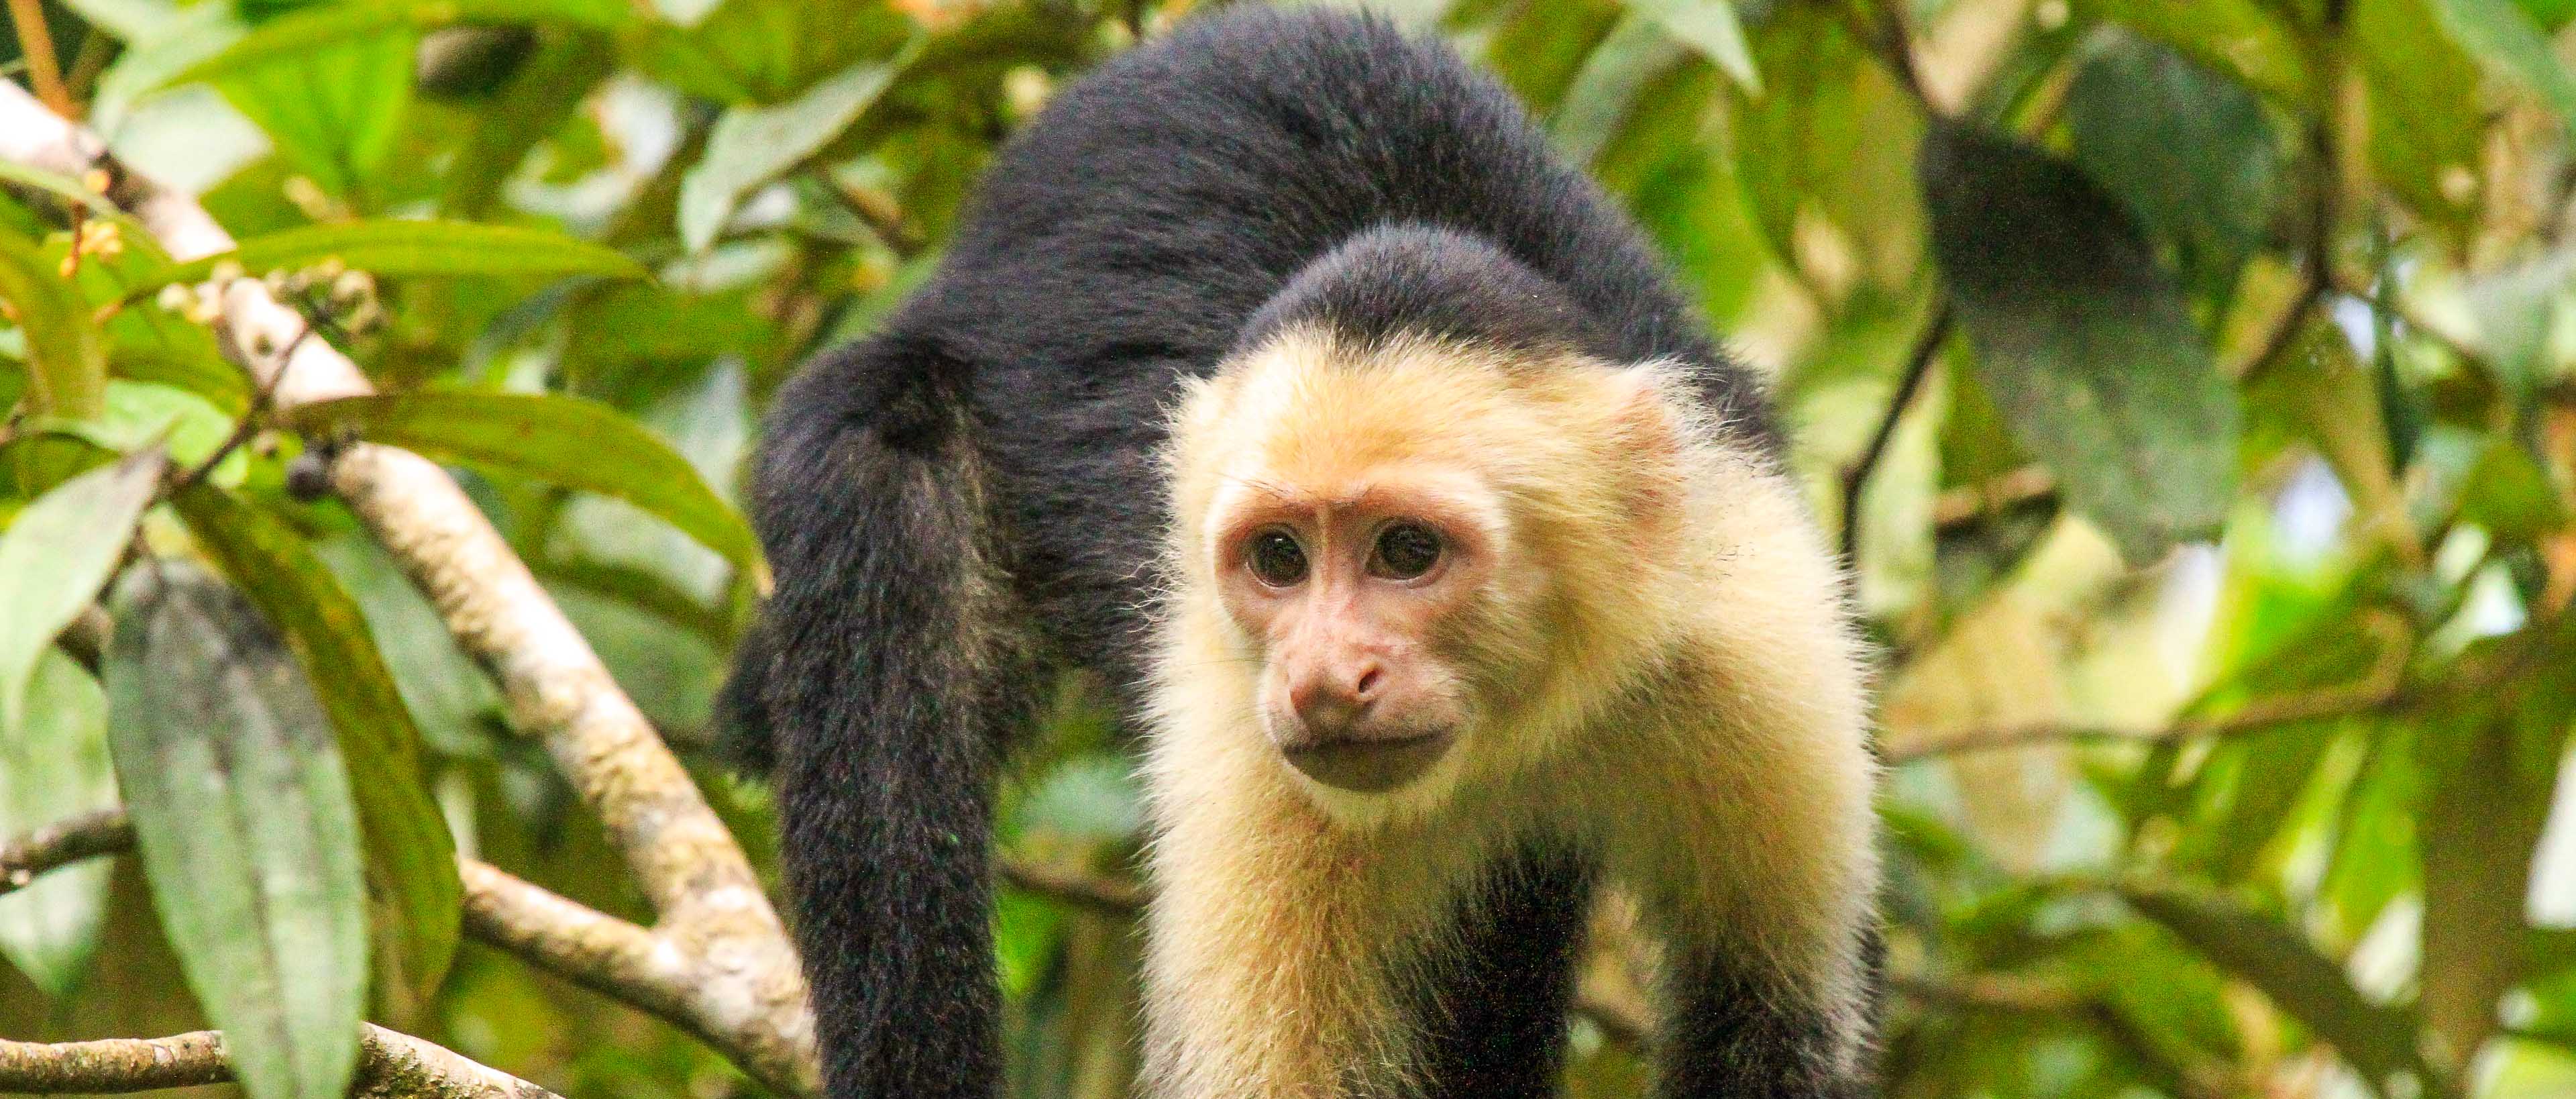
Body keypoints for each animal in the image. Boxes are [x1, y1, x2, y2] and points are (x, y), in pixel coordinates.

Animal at [721, 8, 1880, 1099]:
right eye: (1279, 558)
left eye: (1406, 551)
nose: (1326, 677)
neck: (1528, 714)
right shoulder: (1249, 749)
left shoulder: (1752, 632)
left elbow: (1773, 1028)